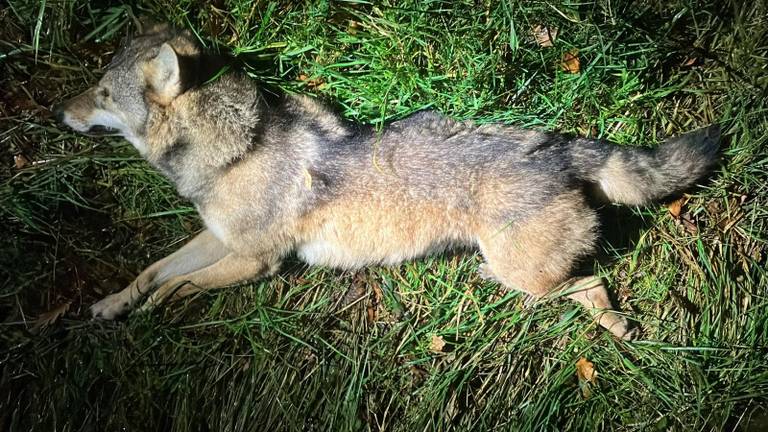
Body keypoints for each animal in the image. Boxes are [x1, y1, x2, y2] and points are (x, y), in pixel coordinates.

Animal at [54, 24, 720, 340]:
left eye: (103, 95)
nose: (60, 110)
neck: (234, 153)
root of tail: (561, 145)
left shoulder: (254, 261)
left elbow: (177, 287)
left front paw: (152, 314)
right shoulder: (218, 239)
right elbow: (151, 271)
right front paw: (113, 304)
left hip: (517, 274)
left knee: (592, 283)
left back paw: (616, 325)